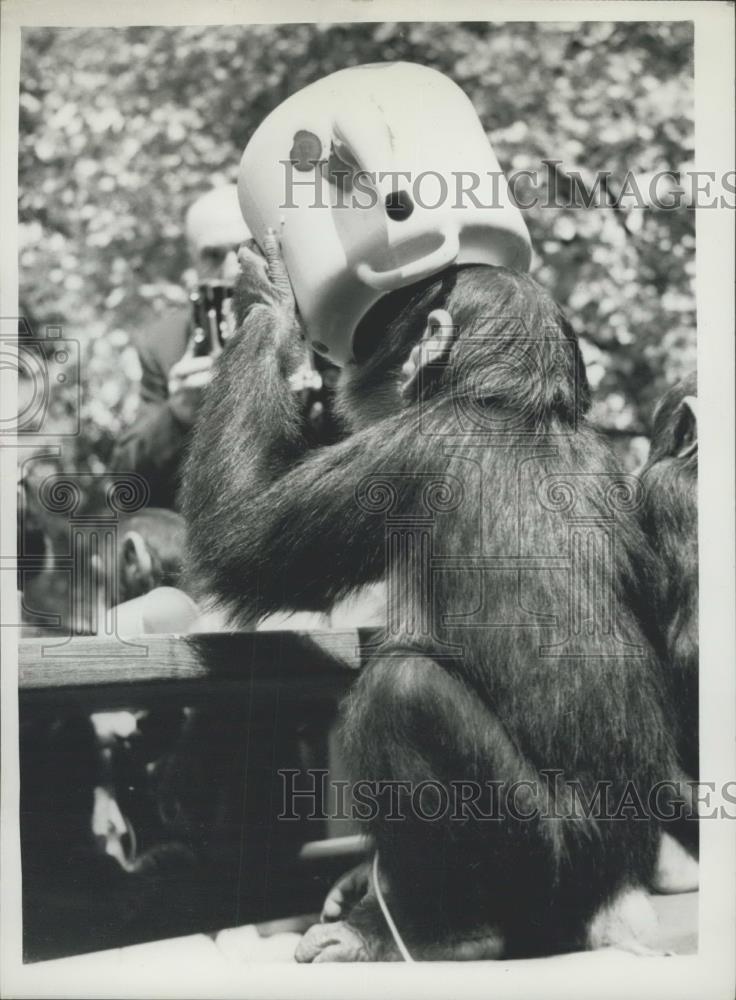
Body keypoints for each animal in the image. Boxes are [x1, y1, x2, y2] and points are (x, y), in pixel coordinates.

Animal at [183, 240, 680, 960]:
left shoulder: (404, 454)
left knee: (404, 690)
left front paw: (271, 298)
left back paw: (445, 932)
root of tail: (618, 898)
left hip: (551, 868)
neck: (514, 404)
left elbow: (237, 538)